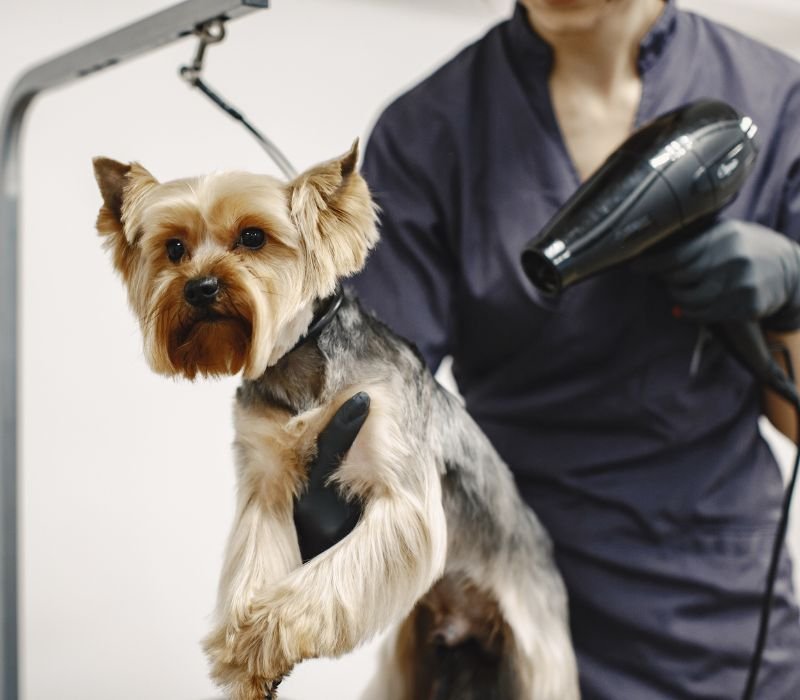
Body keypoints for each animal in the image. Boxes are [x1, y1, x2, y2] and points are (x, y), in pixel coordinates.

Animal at [92, 144, 580, 700]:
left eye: (253, 237)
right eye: (174, 248)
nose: (200, 287)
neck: (298, 362)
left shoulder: (398, 493)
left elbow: (329, 577)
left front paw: (262, 637)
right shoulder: (268, 482)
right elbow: (255, 562)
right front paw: (245, 654)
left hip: (538, 657)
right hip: (410, 662)